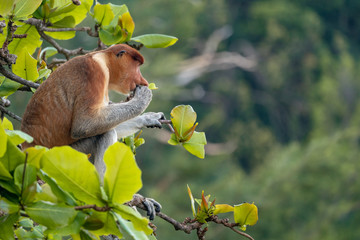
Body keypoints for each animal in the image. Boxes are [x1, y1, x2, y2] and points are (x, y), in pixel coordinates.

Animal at [20, 43, 164, 178]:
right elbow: (84, 125)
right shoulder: (94, 72)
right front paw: (143, 97)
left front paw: (149, 118)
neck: (104, 60)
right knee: (107, 134)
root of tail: (27, 148)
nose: (144, 82)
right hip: (63, 156)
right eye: (137, 67)